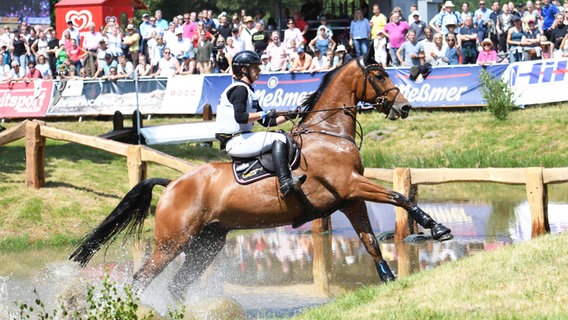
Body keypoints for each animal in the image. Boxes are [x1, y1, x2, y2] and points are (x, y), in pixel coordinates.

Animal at [71, 47, 452, 300]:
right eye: (379, 74)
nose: (405, 107)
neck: (328, 132)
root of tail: (172, 185)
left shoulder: (349, 198)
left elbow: (371, 242)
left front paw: (389, 280)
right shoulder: (350, 185)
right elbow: (398, 196)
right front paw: (437, 228)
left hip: (206, 243)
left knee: (179, 285)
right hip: (171, 242)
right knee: (142, 277)